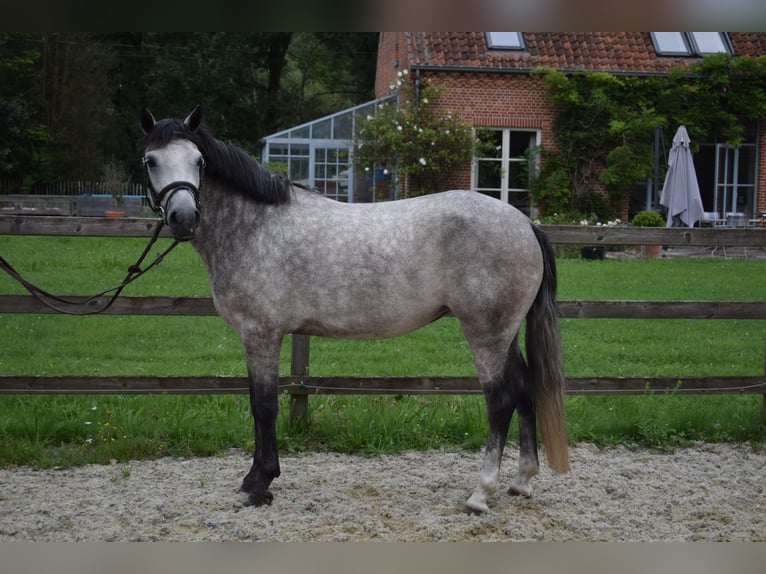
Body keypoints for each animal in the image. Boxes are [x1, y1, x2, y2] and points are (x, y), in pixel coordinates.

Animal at [141, 108, 568, 516]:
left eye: (199, 161)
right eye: (151, 160)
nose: (184, 218)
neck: (255, 227)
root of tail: (525, 224)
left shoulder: (260, 333)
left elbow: (263, 406)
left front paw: (260, 484)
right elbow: (258, 403)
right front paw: (255, 479)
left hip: (486, 334)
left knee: (501, 401)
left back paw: (481, 494)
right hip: (506, 334)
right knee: (525, 388)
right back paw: (521, 481)